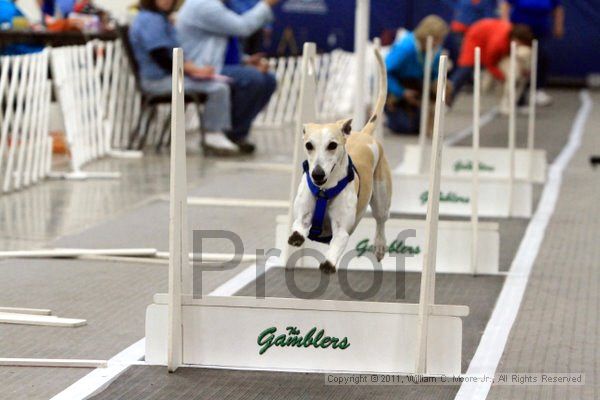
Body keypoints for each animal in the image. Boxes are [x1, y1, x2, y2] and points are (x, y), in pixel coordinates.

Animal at [288, 48, 392, 276]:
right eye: (309, 145)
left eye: (332, 145)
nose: (317, 174)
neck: (324, 191)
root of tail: (364, 134)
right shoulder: (303, 216)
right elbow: (299, 226)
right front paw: (296, 236)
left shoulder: (342, 230)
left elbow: (337, 243)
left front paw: (329, 263)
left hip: (381, 198)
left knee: (381, 220)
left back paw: (380, 245)